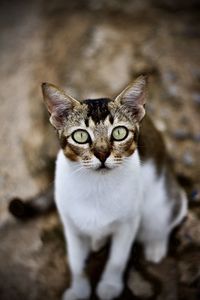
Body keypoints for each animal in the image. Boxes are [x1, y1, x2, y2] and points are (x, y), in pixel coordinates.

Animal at [10, 75, 187, 300]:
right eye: (80, 136)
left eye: (119, 133)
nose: (102, 154)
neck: (96, 185)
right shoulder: (71, 226)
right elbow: (76, 262)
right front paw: (79, 290)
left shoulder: (128, 223)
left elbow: (117, 259)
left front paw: (110, 285)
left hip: (160, 202)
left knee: (169, 214)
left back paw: (155, 245)